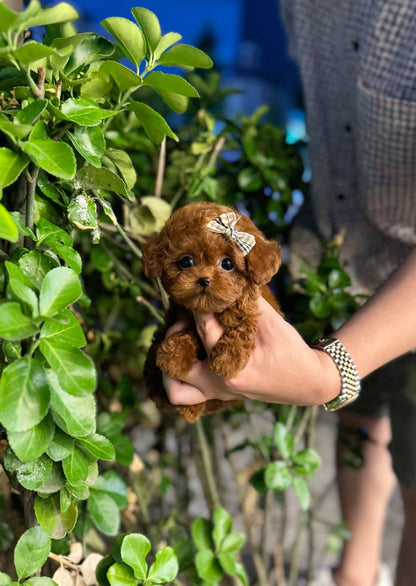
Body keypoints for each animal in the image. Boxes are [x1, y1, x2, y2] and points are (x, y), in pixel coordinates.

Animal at [143, 201, 282, 420]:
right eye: (186, 262)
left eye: (228, 263)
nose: (204, 279)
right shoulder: (179, 315)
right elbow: (189, 332)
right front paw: (175, 356)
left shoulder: (250, 307)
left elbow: (244, 323)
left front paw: (228, 359)